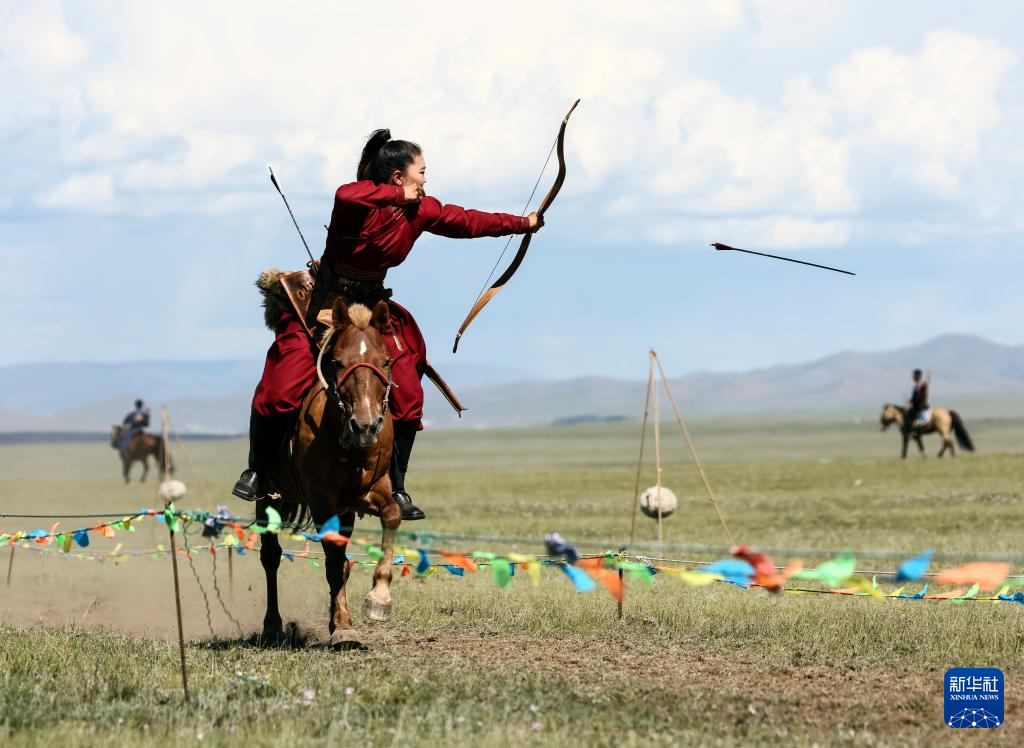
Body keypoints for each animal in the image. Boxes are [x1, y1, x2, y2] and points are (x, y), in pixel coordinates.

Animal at [256, 297, 401, 650]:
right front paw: (345, 629)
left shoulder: (374, 489)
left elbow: (392, 516)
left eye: (386, 362)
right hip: (269, 498)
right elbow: (334, 564)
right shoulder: (322, 501)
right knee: (271, 556)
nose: (366, 426)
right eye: (337, 362)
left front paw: (378, 599)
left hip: (345, 509)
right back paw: (273, 626)